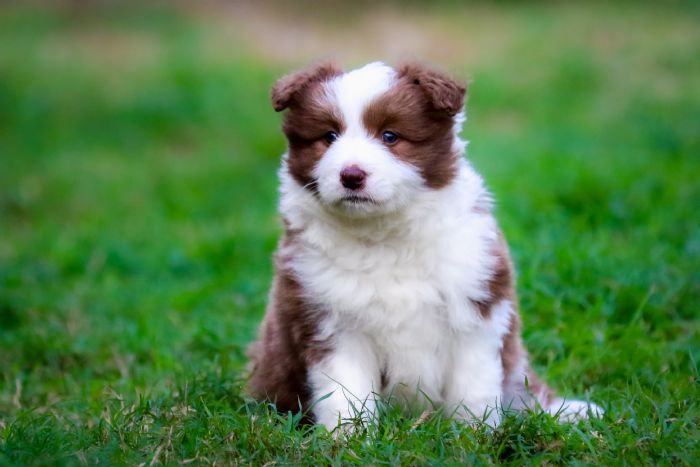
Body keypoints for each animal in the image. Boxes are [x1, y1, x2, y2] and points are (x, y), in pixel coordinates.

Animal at [247, 62, 600, 432]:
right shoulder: (328, 321)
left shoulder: (477, 307)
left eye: (390, 136)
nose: (351, 175)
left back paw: (573, 412)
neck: (385, 235)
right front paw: (350, 440)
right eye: (329, 137)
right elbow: (347, 394)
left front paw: (475, 435)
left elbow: (473, 389)